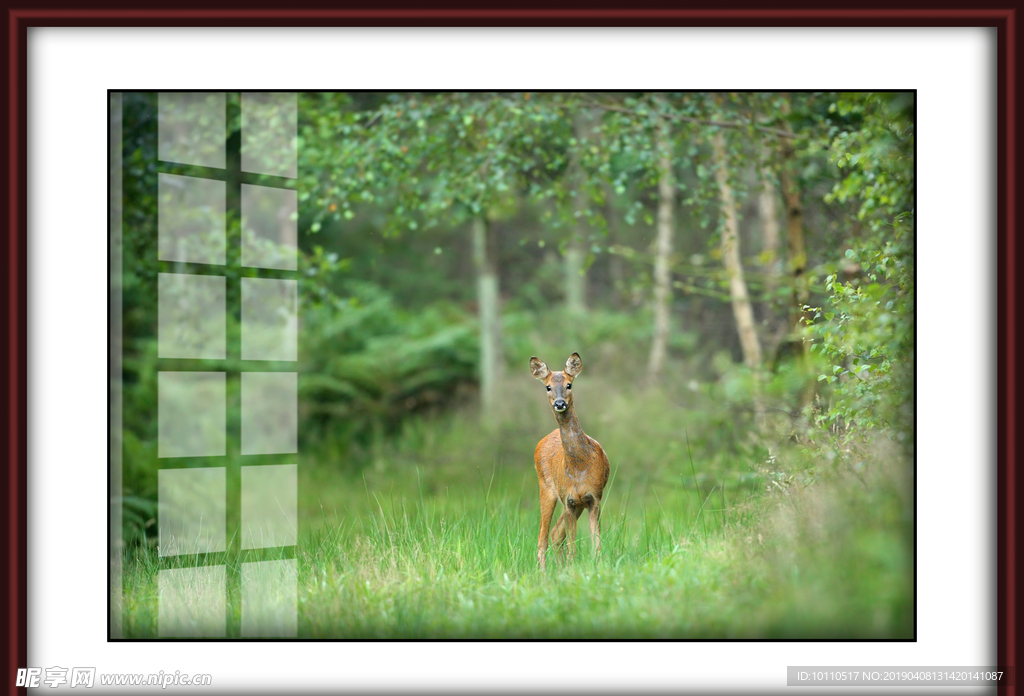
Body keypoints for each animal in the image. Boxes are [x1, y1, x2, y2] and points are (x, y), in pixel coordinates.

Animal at [528, 354, 606, 569]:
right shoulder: (569, 500)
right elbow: (573, 545)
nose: (560, 403)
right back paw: (544, 572)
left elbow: (596, 542)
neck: (579, 467)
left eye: (569, 384)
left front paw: (598, 566)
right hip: (547, 489)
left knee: (555, 533)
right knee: (543, 537)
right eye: (547, 387)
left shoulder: (593, 497)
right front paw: (572, 568)